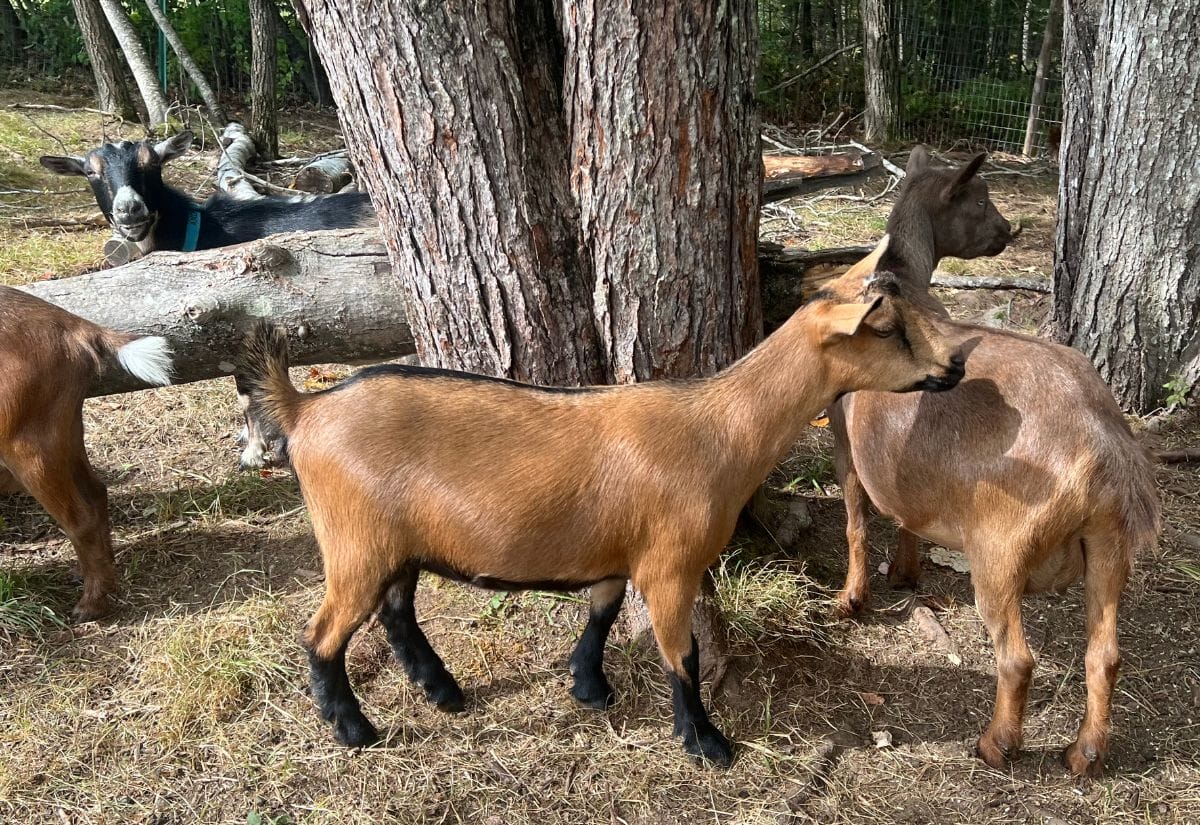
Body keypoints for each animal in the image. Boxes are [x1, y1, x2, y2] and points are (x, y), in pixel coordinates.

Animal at [0, 288, 174, 618]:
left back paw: (89, 606)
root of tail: (73, 325)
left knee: (81, 517)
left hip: (28, 445)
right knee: (96, 491)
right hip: (66, 431)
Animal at [236, 238, 974, 767]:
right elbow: (682, 654)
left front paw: (589, 688)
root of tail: (304, 410)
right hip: (353, 539)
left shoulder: (619, 552)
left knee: (396, 611)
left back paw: (443, 692)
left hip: (395, 540)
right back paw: (354, 728)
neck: (720, 428)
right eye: (887, 329)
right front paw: (705, 742)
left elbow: (601, 613)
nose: (956, 368)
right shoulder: (672, 563)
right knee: (322, 634)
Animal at [830, 149, 1156, 781]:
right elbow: (906, 517)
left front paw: (852, 599)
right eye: (978, 200)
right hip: (1109, 545)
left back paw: (996, 743)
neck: (901, 281)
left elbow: (856, 522)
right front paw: (904, 572)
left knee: (1017, 658)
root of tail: (1104, 447)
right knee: (1105, 653)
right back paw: (1085, 752)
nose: (1009, 231)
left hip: (999, 551)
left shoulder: (842, 439)